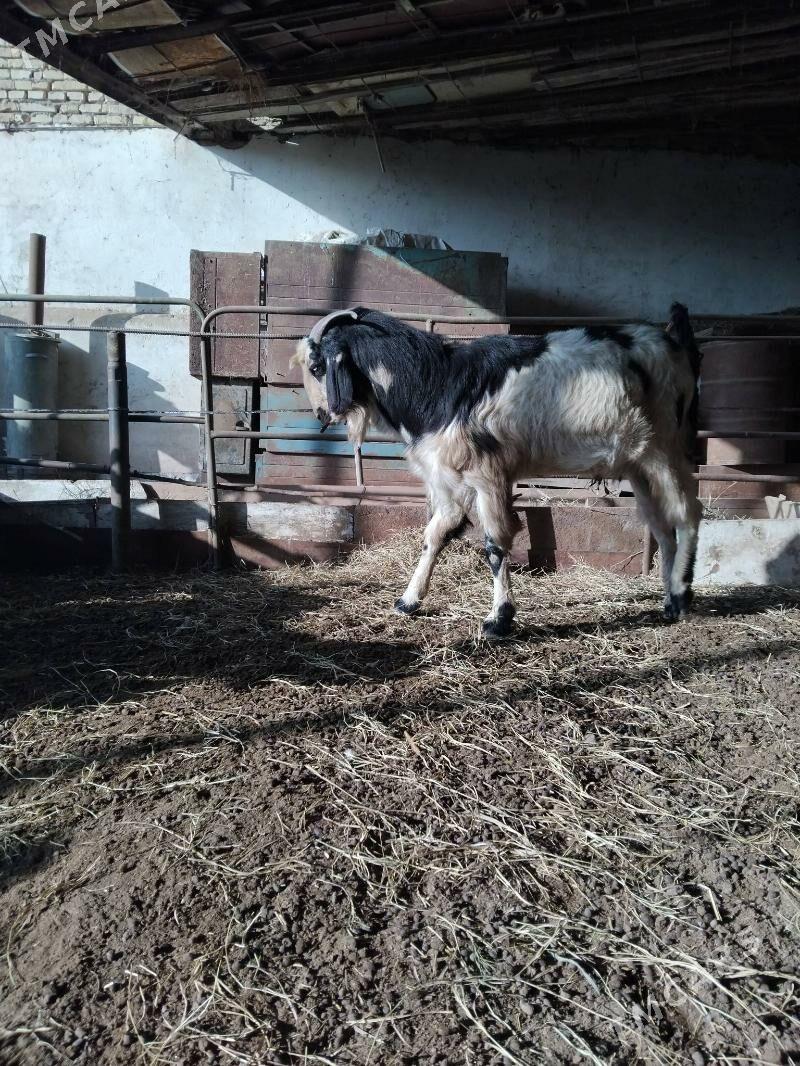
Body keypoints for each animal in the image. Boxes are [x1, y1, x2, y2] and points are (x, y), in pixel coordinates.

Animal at [293, 305, 702, 636]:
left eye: (316, 366)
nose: (322, 415)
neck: (435, 384)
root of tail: (673, 342)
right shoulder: (451, 480)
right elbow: (434, 534)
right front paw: (408, 601)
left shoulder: (486, 475)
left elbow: (493, 544)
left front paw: (499, 619)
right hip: (637, 464)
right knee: (661, 526)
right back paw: (668, 600)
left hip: (662, 449)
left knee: (687, 515)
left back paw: (682, 597)